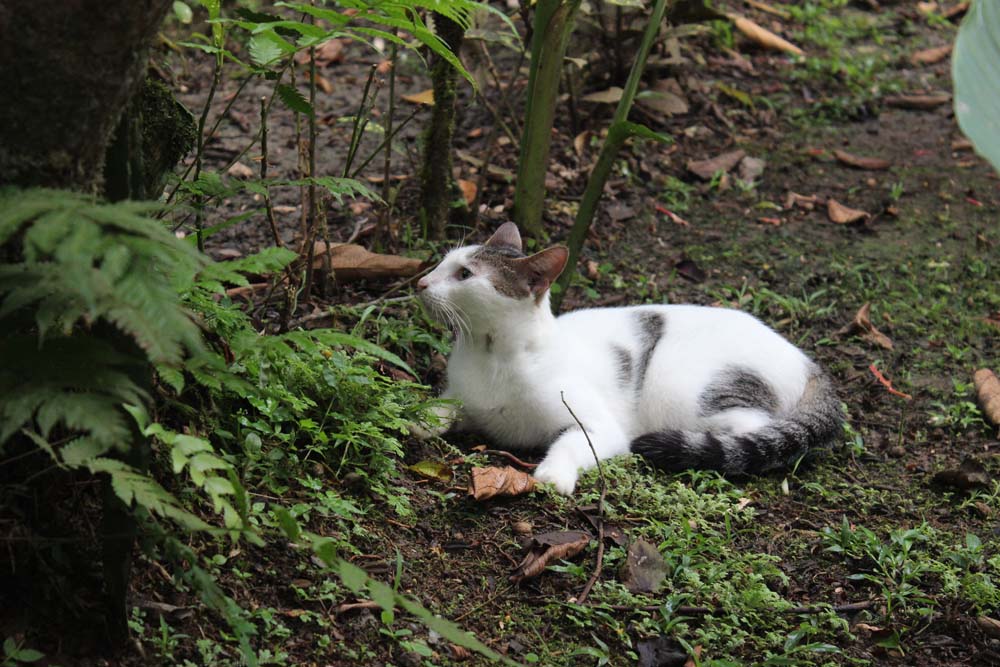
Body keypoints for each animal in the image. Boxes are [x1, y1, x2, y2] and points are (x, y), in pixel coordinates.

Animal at [414, 222, 844, 494]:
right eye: (443, 262)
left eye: (464, 274)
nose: (420, 282)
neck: (491, 354)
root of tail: (806, 361)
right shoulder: (461, 396)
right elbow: (442, 407)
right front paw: (419, 418)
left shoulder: (600, 427)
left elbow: (571, 444)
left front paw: (554, 475)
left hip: (686, 388)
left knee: (757, 431)